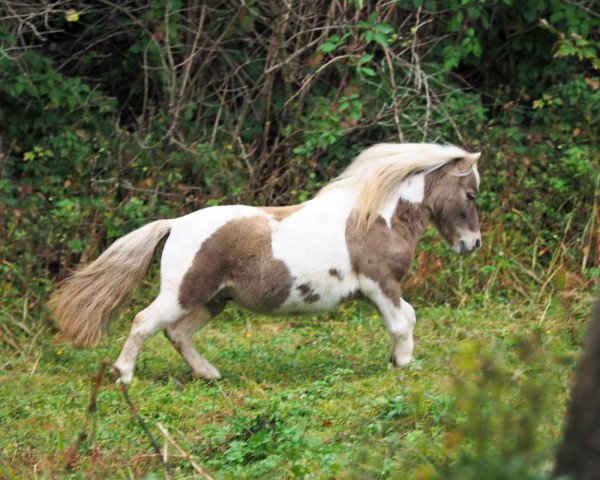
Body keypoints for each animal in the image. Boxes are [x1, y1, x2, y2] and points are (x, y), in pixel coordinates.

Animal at [51, 142, 482, 382]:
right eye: (472, 194)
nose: (472, 244)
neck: (377, 218)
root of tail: (175, 224)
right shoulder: (381, 284)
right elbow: (402, 321)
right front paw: (404, 364)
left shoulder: (383, 289)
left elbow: (407, 317)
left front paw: (397, 360)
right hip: (184, 292)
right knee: (144, 322)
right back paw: (123, 375)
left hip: (214, 300)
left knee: (177, 333)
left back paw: (209, 374)